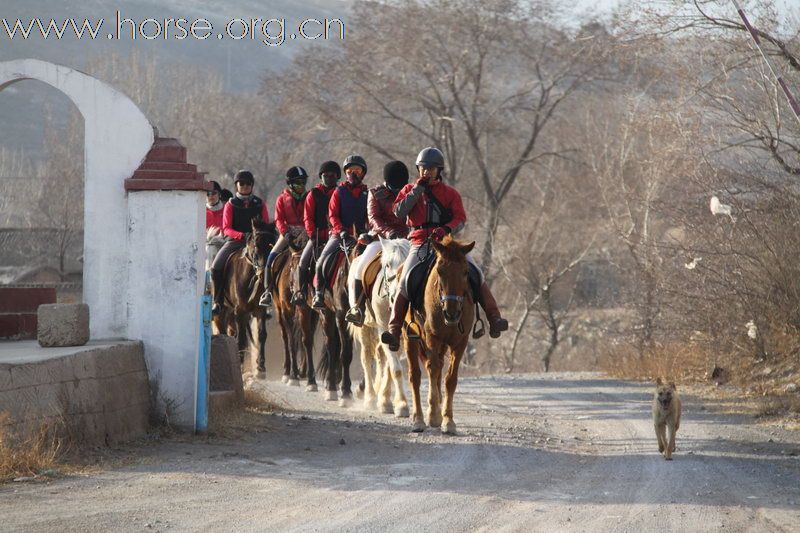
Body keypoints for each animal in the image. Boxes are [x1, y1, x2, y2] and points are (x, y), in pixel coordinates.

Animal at [212, 218, 278, 376]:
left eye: (271, 244)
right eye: (256, 244)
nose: (263, 274)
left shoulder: (260, 311)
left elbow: (261, 335)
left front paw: (261, 368)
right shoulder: (240, 311)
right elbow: (241, 339)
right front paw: (240, 368)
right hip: (223, 311)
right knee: (223, 332)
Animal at [270, 233, 318, 390]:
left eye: (307, 267)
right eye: (291, 267)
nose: (298, 296)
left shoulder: (308, 310)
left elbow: (307, 339)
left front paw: (310, 378)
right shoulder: (286, 309)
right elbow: (291, 340)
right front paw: (293, 376)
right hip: (279, 309)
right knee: (285, 337)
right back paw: (287, 371)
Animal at [350, 237, 412, 416]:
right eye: (388, 264)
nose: (397, 294)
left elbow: (391, 367)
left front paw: (387, 401)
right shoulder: (384, 327)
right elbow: (395, 368)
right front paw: (401, 405)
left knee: (380, 356)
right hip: (364, 327)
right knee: (366, 358)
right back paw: (370, 398)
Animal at [406, 235, 476, 434]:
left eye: (465, 272)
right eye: (440, 270)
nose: (451, 313)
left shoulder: (460, 342)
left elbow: (450, 379)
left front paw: (448, 421)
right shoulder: (432, 338)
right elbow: (433, 370)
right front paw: (434, 415)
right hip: (410, 337)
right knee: (415, 375)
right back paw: (419, 419)